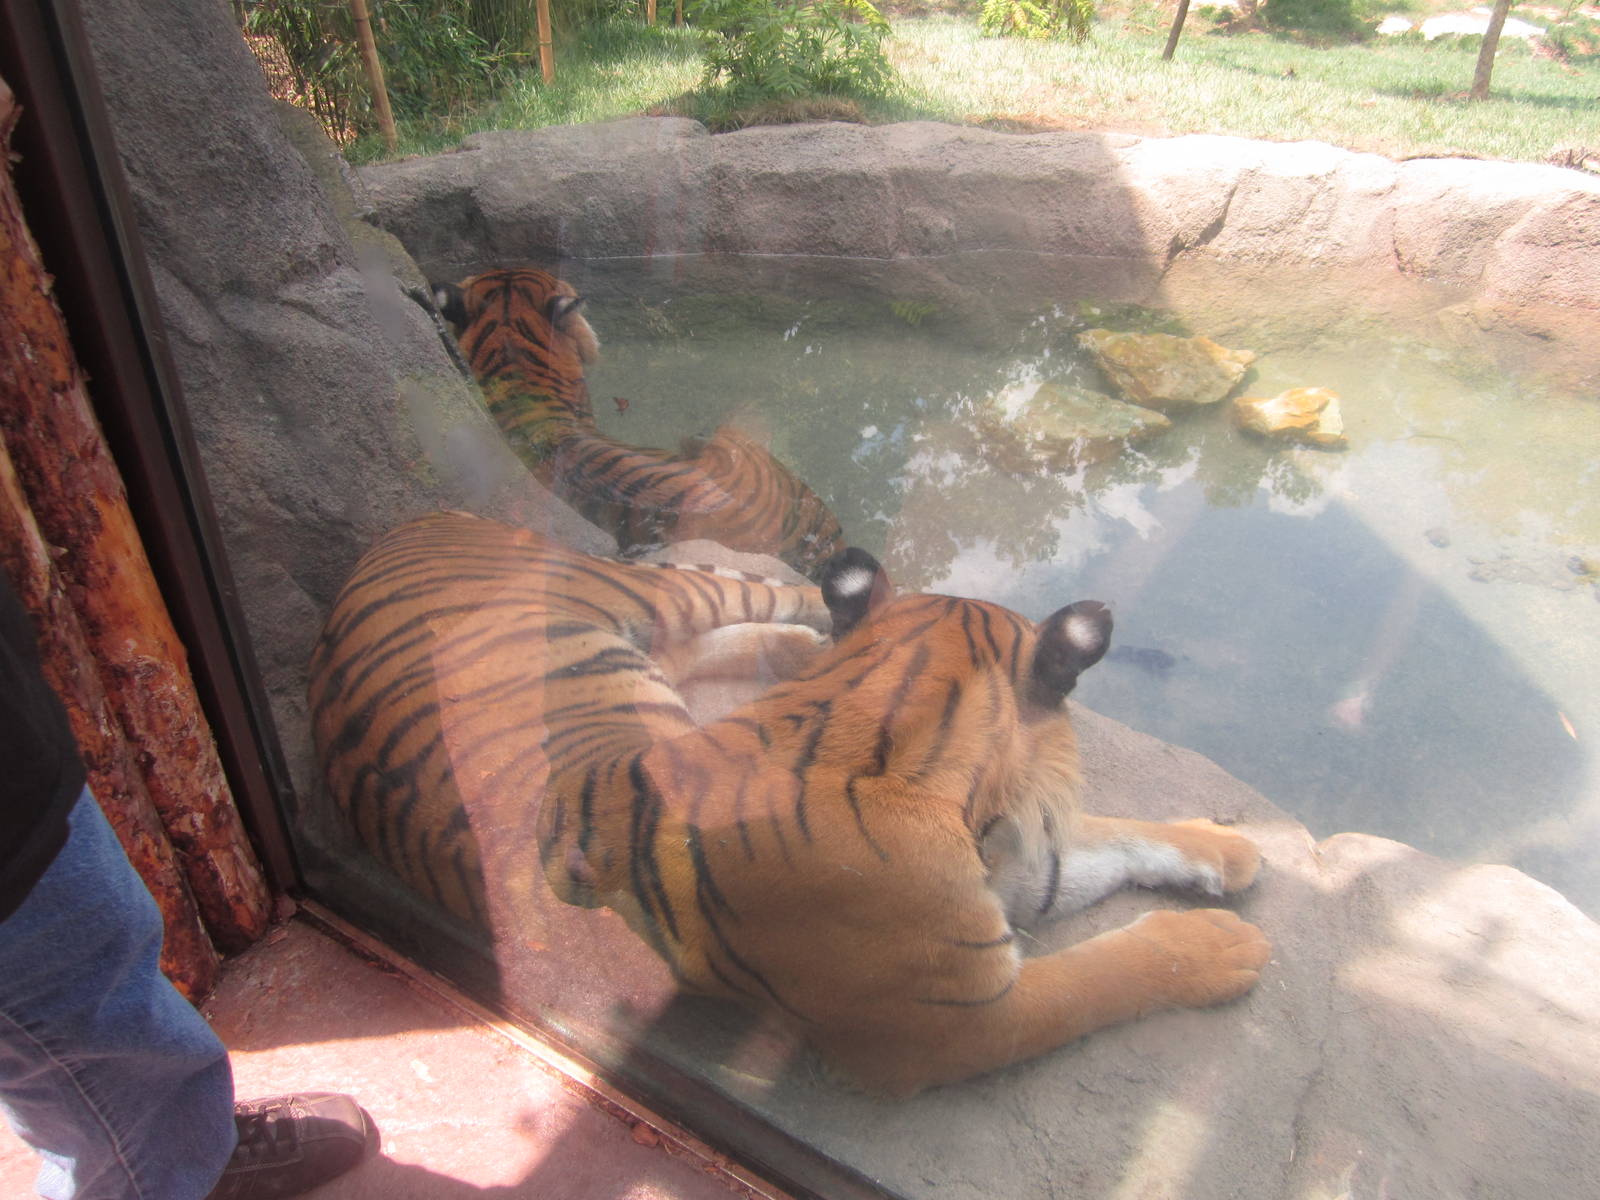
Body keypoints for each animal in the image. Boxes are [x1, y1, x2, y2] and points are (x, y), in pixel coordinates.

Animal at [308, 510, 1270, 1096]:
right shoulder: (956, 1020)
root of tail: (414, 521)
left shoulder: (1013, 875)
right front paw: (1224, 947)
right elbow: (1102, 975)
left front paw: (1233, 852)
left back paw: (806, 643)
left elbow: (1116, 839)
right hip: (652, 593)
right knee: (756, 589)